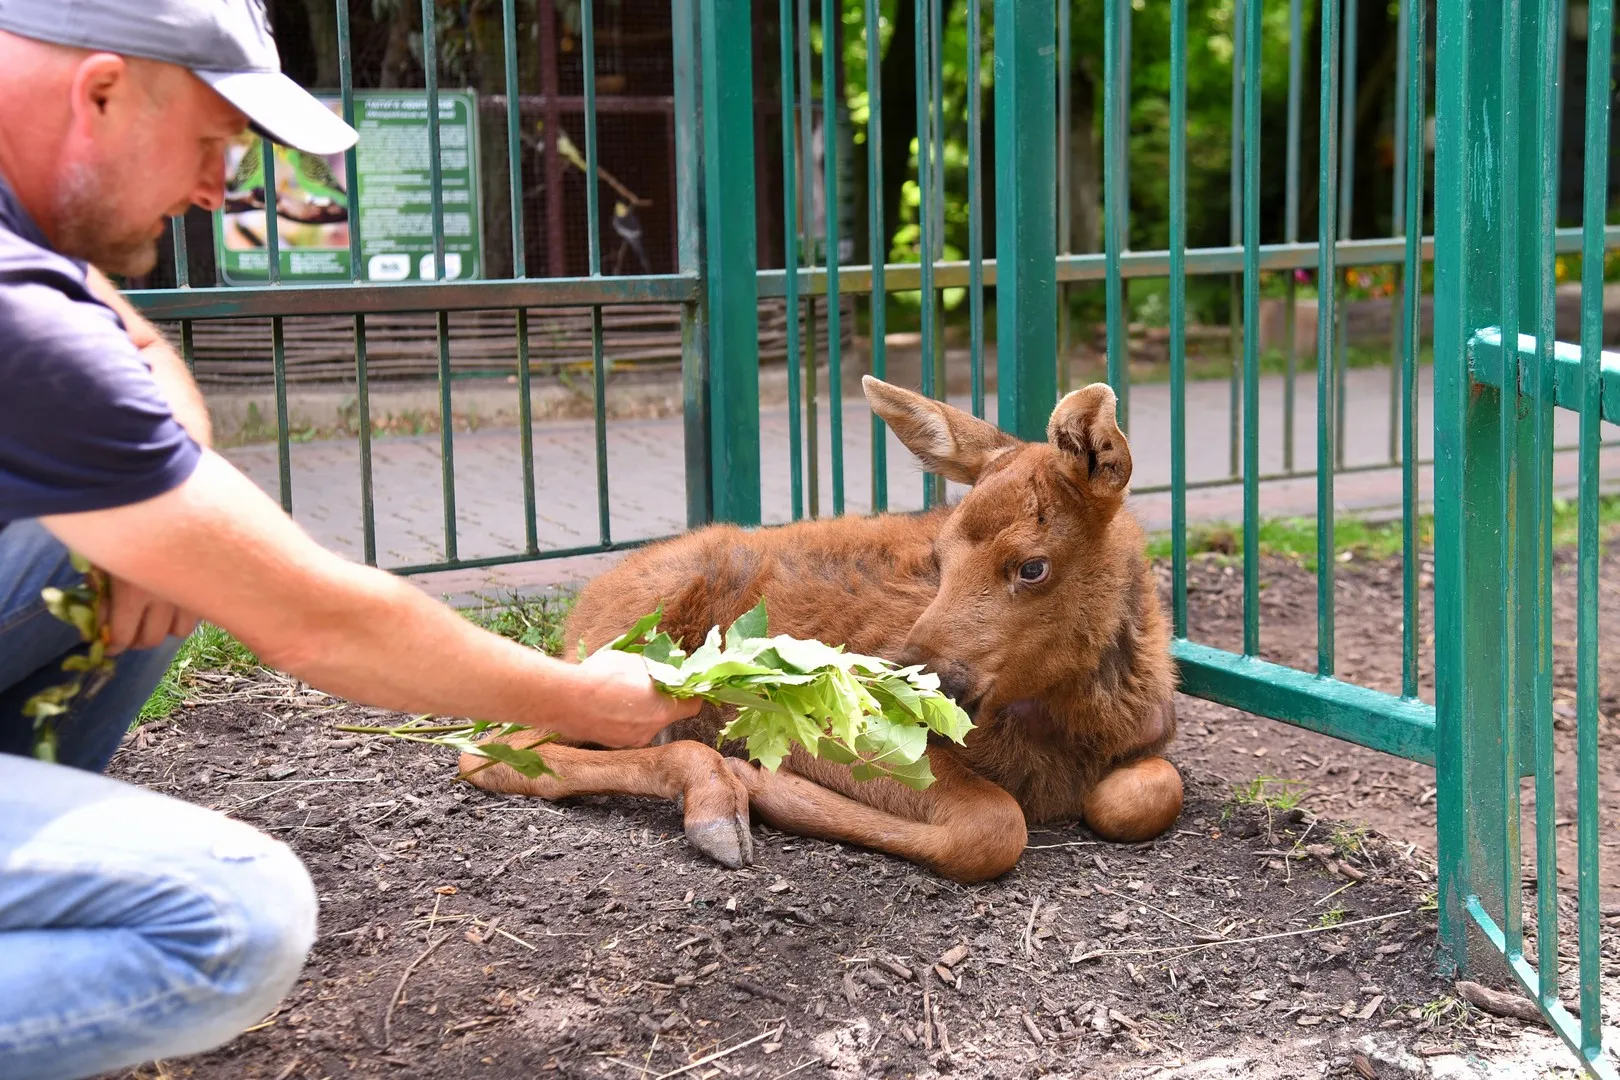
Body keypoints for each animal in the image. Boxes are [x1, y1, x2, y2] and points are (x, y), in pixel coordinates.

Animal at [463, 375, 1185, 880]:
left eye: (1033, 566)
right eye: (940, 557)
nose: (911, 677)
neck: (1078, 719)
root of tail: (581, 609)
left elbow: (1153, 790)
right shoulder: (833, 725)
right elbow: (994, 824)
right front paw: (769, 785)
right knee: (487, 745)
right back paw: (719, 797)